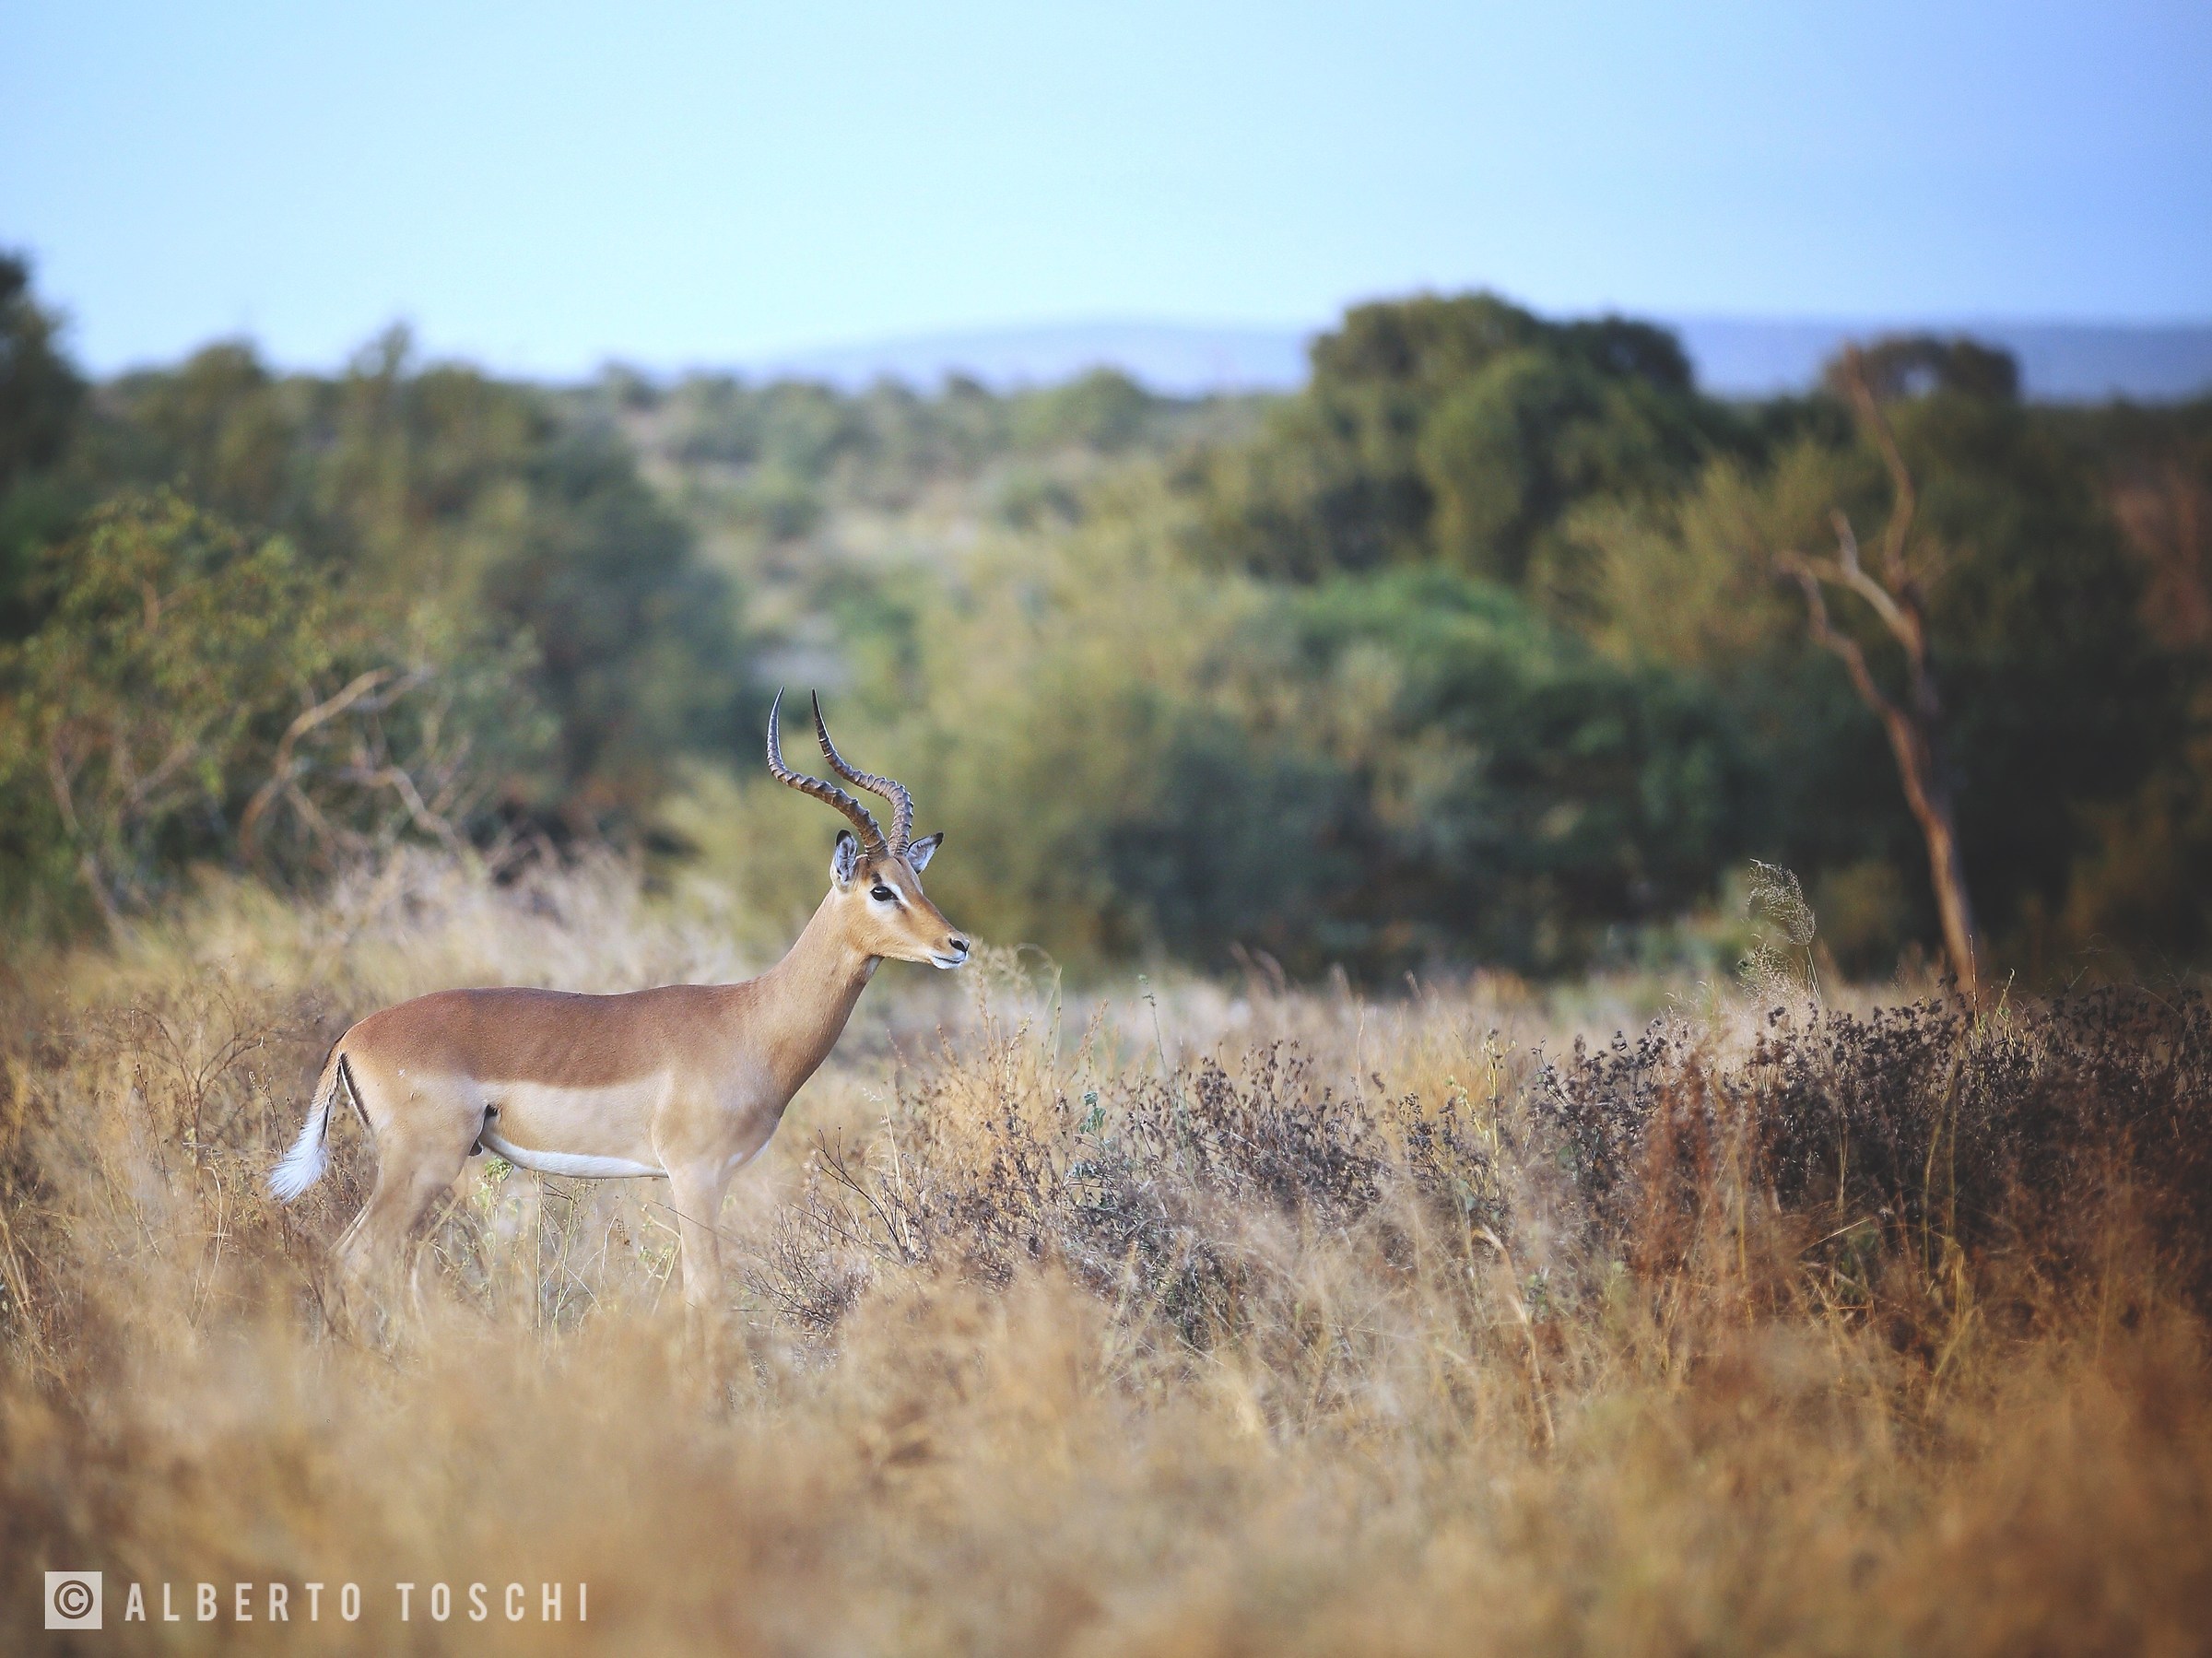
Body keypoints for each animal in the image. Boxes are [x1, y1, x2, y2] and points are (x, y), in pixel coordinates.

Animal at [266, 692, 969, 1311]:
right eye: (879, 889)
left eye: (916, 878)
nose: (957, 944)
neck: (751, 1021)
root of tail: (353, 1036)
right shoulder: (695, 1176)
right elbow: (708, 1296)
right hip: (422, 1166)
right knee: (356, 1259)